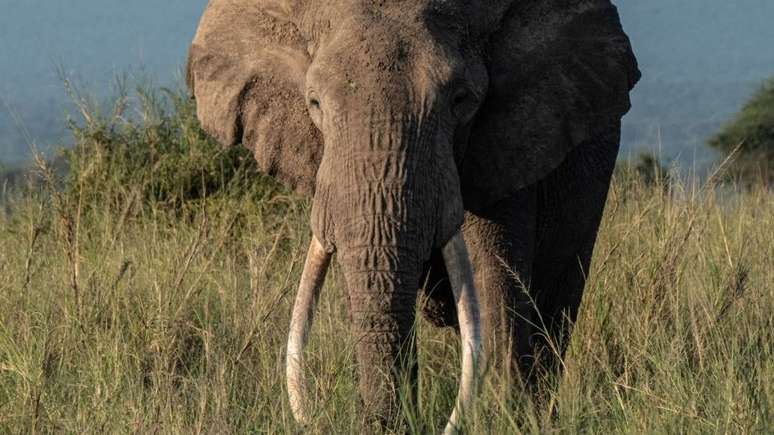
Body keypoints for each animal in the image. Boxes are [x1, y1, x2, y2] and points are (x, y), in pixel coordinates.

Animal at [186, 0, 639, 431]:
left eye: (461, 101)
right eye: (314, 103)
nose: (380, 424)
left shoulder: (509, 138)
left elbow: (493, 277)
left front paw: (503, 420)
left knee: (555, 307)